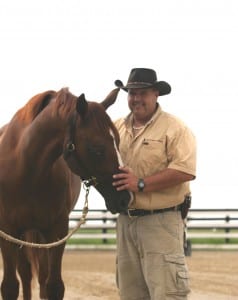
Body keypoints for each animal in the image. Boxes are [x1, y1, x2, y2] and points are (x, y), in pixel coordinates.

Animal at [0, 88, 131, 298]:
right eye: (97, 149)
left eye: (118, 142)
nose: (124, 198)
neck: (26, 168)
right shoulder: (7, 232)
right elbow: (10, 286)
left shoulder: (57, 231)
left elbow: (53, 286)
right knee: (25, 274)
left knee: (41, 277)